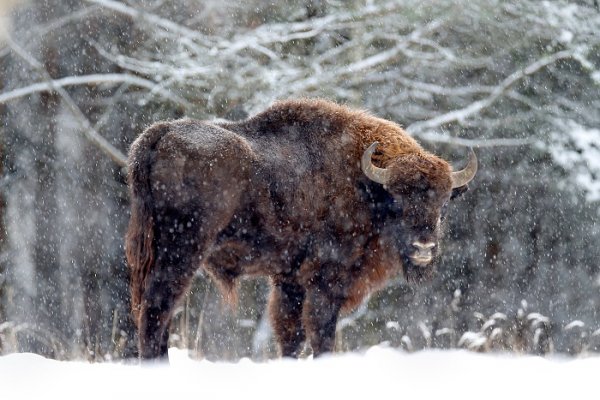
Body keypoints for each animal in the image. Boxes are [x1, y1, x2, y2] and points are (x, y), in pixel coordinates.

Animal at [124, 99, 476, 360]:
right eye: (397, 201)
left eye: (443, 204)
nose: (423, 249)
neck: (365, 185)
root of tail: (161, 133)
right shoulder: (327, 280)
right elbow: (320, 333)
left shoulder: (289, 279)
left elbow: (290, 334)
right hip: (182, 252)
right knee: (157, 309)